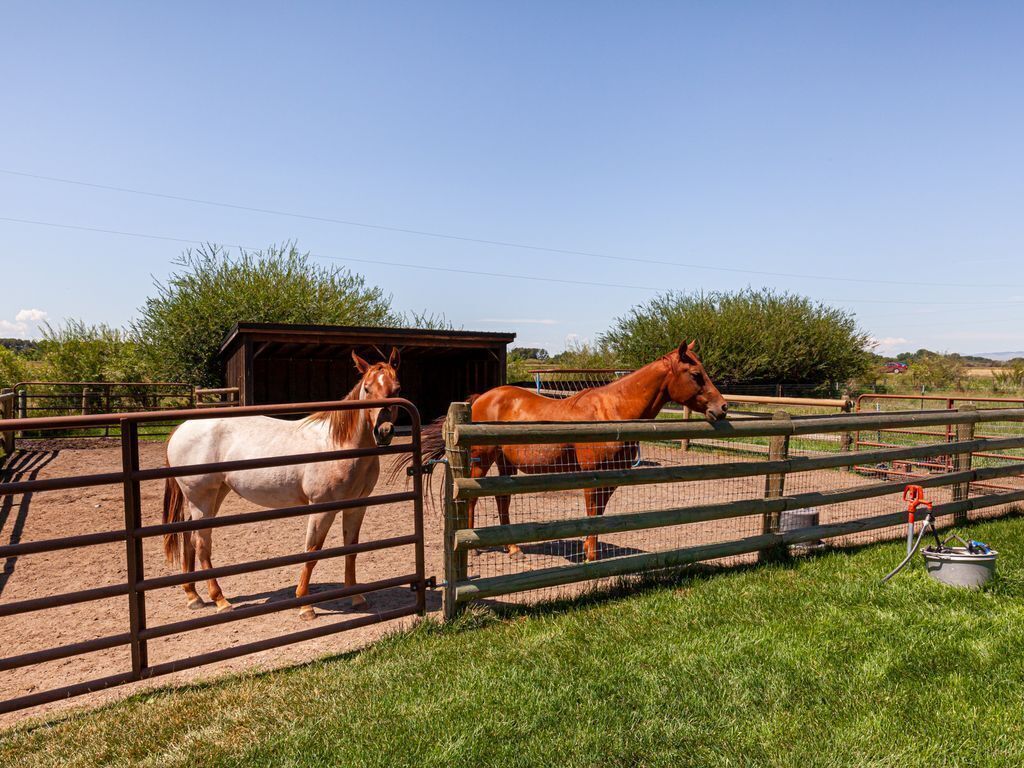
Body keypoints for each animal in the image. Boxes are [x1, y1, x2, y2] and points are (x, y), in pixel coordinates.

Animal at [162, 348, 401, 620]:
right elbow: (313, 552)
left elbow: (350, 550)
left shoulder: (356, 507)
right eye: (368, 389)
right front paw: (305, 605)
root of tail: (182, 427)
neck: (339, 444)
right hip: (201, 497)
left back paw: (193, 596)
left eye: (396, 388)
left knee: (189, 538)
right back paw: (220, 600)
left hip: (213, 495)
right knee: (201, 543)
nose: (384, 431)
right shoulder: (322, 508)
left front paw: (357, 598)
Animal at [415, 341, 726, 562]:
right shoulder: (592, 476)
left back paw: (512, 548)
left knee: (502, 499)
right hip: (483, 459)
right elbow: (592, 514)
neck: (612, 412)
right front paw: (590, 556)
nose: (722, 407)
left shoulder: (611, 478)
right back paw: (476, 549)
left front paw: (593, 551)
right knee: (473, 498)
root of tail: (482, 398)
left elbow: (600, 515)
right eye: (696, 374)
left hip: (505, 463)